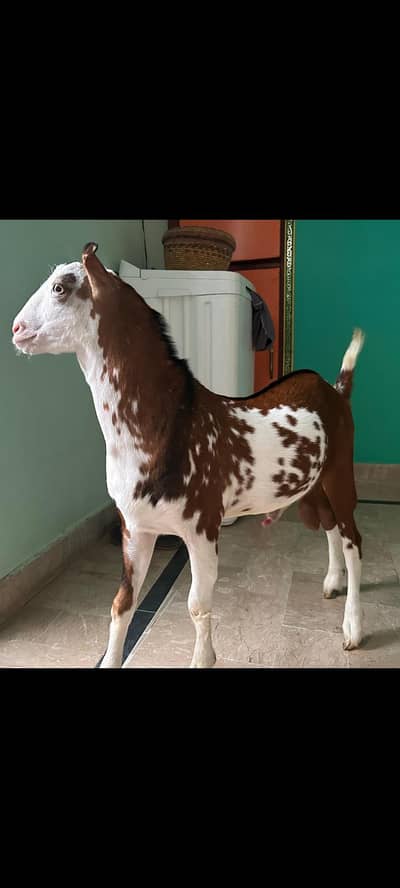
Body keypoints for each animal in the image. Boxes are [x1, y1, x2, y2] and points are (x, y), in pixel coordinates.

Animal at [12, 243, 365, 668]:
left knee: (352, 538)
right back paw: (332, 582)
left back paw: (353, 626)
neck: (170, 423)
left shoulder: (202, 528)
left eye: (61, 288)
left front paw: (202, 658)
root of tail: (335, 390)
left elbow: (197, 604)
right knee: (328, 524)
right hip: (313, 485)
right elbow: (121, 604)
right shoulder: (136, 527)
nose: (15, 329)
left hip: (340, 470)